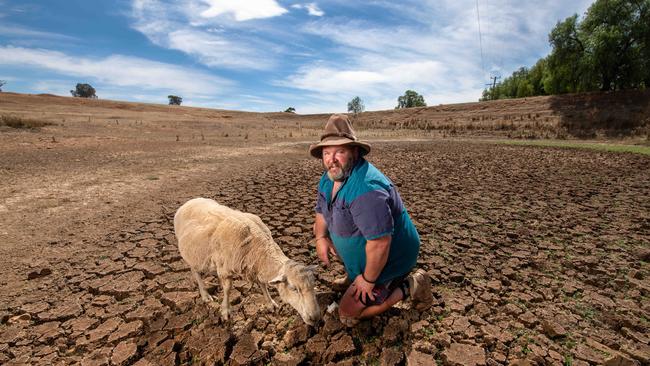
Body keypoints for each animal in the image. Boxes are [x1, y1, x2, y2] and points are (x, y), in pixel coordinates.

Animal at [173, 197, 320, 326]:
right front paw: (226, 311)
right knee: (195, 272)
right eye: (294, 288)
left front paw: (270, 303)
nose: (315, 318)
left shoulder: (256, 266)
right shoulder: (224, 269)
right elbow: (228, 289)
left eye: (313, 285)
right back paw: (205, 296)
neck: (257, 245)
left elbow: (262, 284)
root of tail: (189, 201)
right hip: (192, 255)